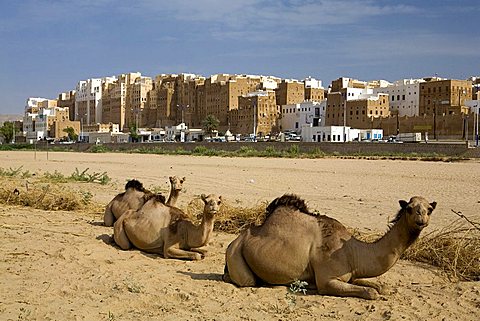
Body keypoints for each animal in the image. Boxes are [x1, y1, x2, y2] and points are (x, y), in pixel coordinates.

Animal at [223, 192, 436, 300]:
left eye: (429, 209)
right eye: (409, 208)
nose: (421, 220)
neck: (352, 251)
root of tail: (235, 241)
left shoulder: (351, 274)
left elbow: (378, 286)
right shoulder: (327, 279)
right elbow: (371, 293)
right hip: (235, 255)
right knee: (248, 281)